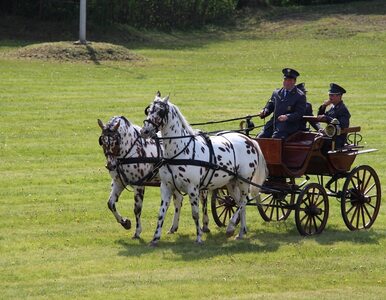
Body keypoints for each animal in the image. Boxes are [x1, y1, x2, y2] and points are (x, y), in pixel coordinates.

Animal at [141, 94, 268, 246]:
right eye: (149, 110)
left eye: (160, 111)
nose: (144, 131)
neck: (179, 151)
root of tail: (249, 139)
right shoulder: (166, 187)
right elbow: (161, 213)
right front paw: (155, 238)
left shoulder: (193, 188)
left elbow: (195, 214)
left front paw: (199, 237)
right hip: (232, 183)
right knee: (239, 204)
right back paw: (241, 232)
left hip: (244, 181)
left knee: (243, 202)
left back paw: (231, 227)